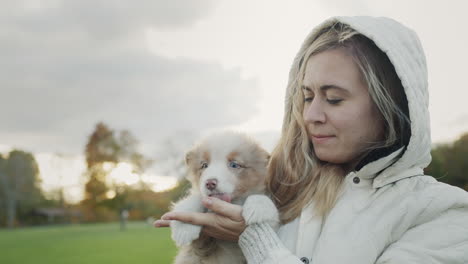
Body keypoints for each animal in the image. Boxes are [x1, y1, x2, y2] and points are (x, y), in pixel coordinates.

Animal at [170, 131, 280, 262]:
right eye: (204, 165)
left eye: (234, 165)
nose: (210, 183)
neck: (232, 201)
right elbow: (195, 199)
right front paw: (184, 229)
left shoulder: (274, 226)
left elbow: (261, 200)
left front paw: (258, 210)